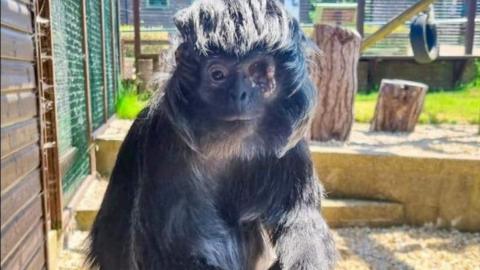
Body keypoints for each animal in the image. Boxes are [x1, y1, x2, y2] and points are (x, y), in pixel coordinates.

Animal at [89, 1, 338, 268]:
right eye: (218, 75)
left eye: (258, 73)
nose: (239, 94)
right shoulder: (166, 138)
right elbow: (173, 246)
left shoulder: (291, 143)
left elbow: (300, 215)